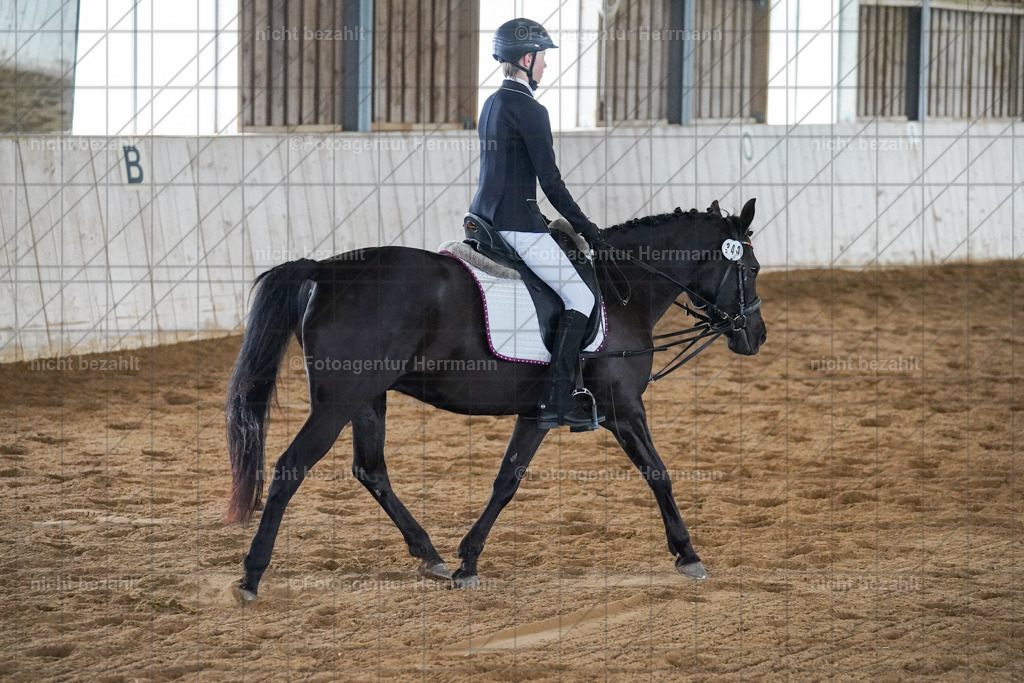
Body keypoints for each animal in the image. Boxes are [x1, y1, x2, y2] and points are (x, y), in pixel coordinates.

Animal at [226, 198, 766, 601]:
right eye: (753, 268)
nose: (755, 335)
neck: (621, 291)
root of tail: (324, 269)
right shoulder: (623, 408)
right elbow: (658, 472)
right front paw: (688, 554)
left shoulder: (538, 413)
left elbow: (507, 481)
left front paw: (467, 561)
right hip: (338, 402)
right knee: (291, 467)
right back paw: (251, 575)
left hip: (367, 397)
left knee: (371, 470)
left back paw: (430, 555)